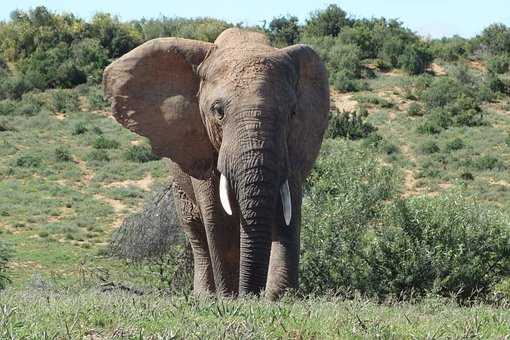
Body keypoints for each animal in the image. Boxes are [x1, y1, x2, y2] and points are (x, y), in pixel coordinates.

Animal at [102, 27, 330, 298]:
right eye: (218, 111)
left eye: (292, 113)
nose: (251, 295)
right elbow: (217, 218)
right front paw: (228, 298)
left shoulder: (295, 147)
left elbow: (288, 214)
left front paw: (279, 298)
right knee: (197, 234)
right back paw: (205, 295)